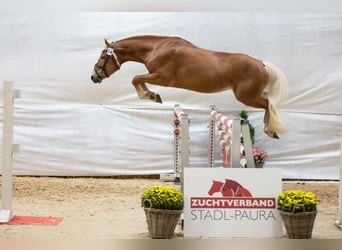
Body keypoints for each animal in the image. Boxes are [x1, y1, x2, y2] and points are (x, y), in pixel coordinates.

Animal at [91, 34, 288, 139]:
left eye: (103, 56)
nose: (94, 77)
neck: (157, 48)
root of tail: (261, 63)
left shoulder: (162, 78)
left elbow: (135, 79)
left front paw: (152, 96)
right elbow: (138, 79)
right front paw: (152, 95)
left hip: (246, 96)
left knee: (268, 104)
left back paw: (270, 130)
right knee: (268, 104)